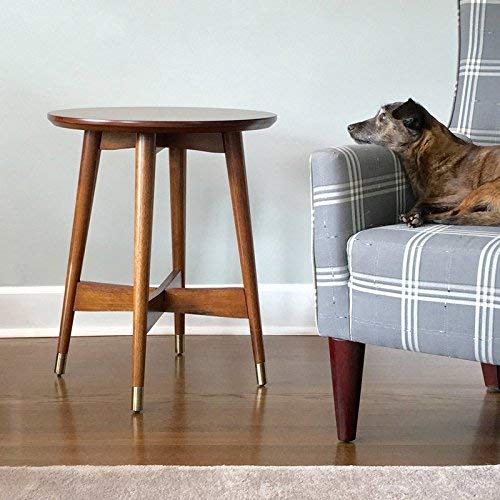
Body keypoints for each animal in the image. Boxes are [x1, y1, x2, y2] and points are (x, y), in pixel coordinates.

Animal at [348, 98, 500, 227]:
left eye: (383, 116)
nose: (349, 127)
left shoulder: (462, 193)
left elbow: (424, 200)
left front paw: (413, 215)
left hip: (484, 188)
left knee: (455, 213)